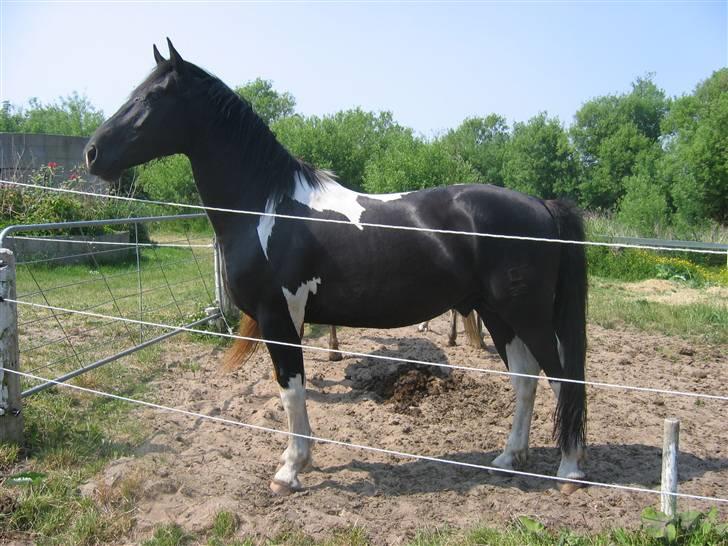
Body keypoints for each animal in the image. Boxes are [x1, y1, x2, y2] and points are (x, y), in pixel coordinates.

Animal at [85, 40, 588, 496]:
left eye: (151, 97)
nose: (92, 153)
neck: (267, 209)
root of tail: (541, 204)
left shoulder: (279, 317)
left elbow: (291, 390)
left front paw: (291, 469)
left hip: (526, 314)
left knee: (562, 377)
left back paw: (569, 470)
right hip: (498, 313)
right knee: (525, 379)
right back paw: (509, 458)